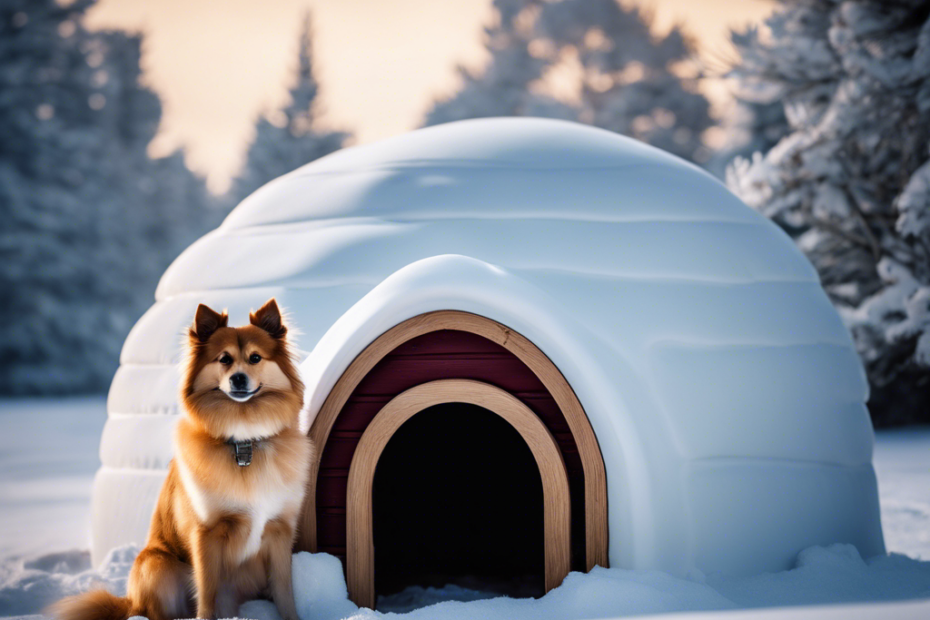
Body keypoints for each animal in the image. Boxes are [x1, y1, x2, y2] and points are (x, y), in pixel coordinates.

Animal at [56, 298, 314, 616]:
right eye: (224, 359)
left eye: (255, 358)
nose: (238, 379)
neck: (244, 442)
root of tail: (130, 602)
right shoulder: (205, 533)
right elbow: (207, 591)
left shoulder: (279, 531)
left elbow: (284, 591)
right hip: (157, 565)